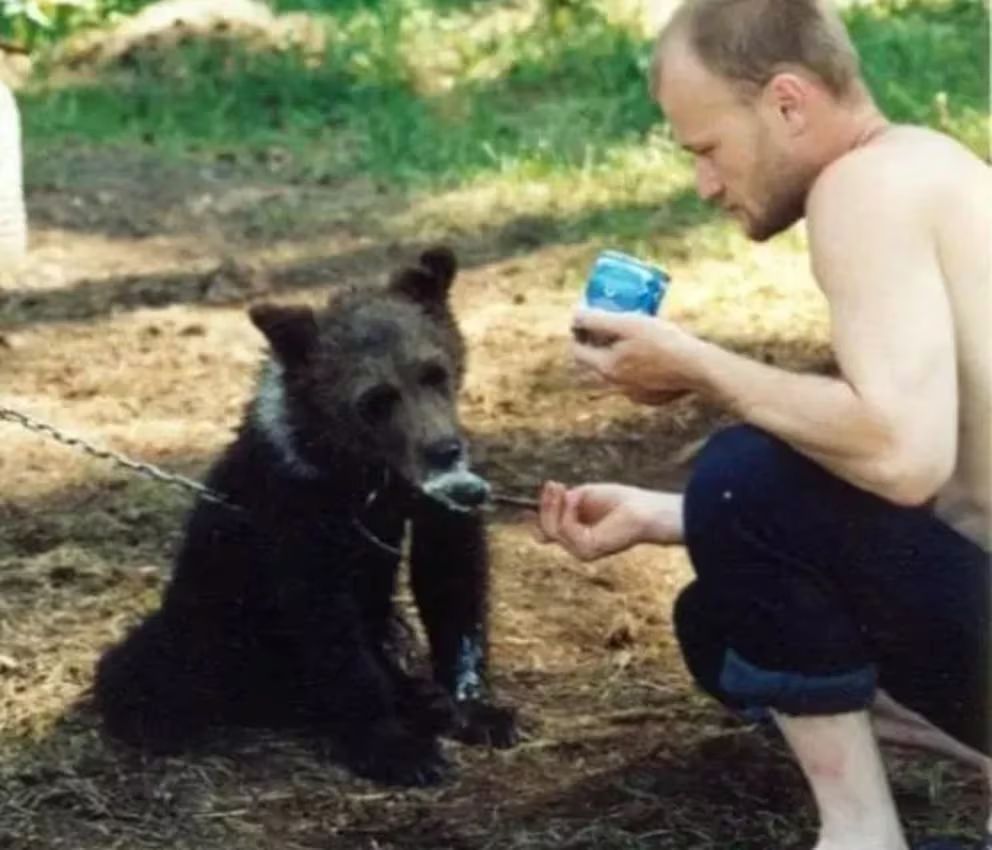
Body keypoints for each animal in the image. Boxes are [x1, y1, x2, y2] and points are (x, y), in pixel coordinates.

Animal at [93, 246, 518, 786]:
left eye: (434, 373)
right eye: (376, 399)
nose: (444, 449)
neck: (361, 475)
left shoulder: (424, 506)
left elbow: (453, 579)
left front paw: (476, 709)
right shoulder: (295, 509)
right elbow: (330, 626)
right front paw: (398, 748)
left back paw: (422, 697)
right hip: (207, 624)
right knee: (146, 673)